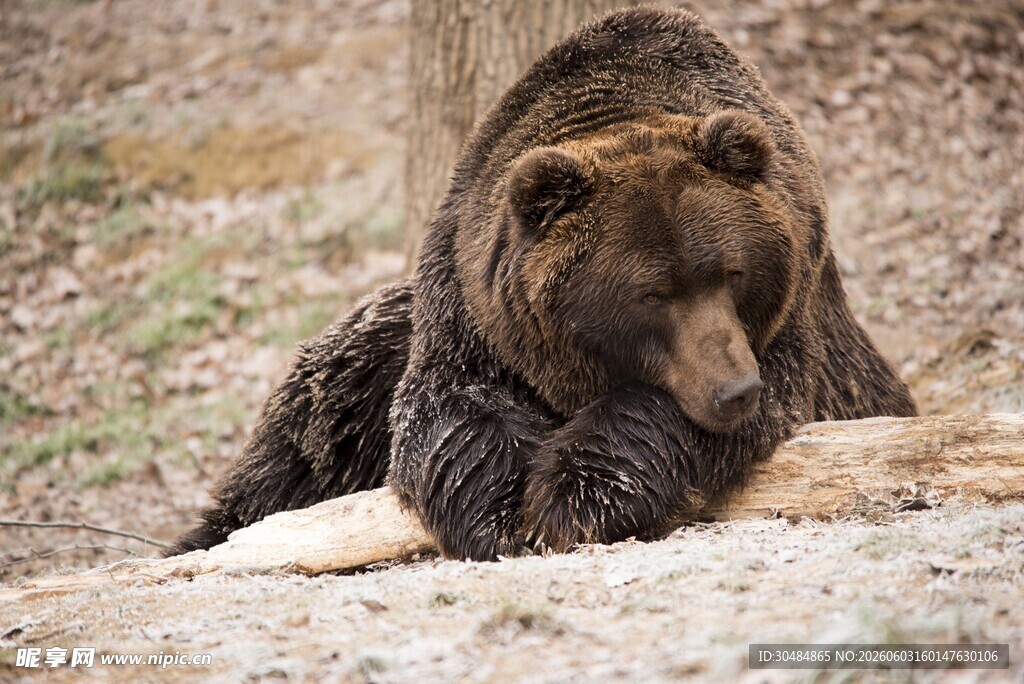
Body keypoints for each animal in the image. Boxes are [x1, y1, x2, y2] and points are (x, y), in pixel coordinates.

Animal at [170, 6, 916, 561]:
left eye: (732, 273)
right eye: (652, 294)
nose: (734, 390)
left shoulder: (790, 326)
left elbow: (677, 412)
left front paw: (572, 495)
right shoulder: (471, 305)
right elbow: (448, 410)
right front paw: (503, 512)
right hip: (372, 352)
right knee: (314, 425)